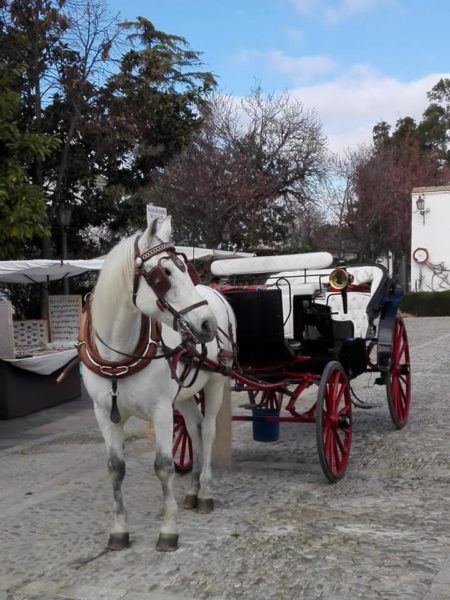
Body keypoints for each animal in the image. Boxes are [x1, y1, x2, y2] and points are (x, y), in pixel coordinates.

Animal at [80, 217, 236, 552]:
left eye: (185, 268)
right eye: (164, 274)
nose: (207, 325)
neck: (119, 355)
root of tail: (215, 292)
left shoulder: (161, 410)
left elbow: (164, 466)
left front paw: (168, 530)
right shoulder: (104, 413)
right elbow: (115, 468)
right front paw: (119, 531)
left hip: (216, 381)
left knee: (207, 430)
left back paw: (205, 493)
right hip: (185, 393)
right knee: (194, 428)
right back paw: (192, 491)